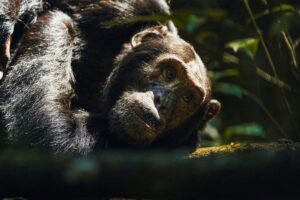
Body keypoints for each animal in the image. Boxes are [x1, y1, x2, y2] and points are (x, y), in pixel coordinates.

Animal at [0, 0, 220, 154]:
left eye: (187, 98)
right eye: (170, 73)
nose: (161, 101)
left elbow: (49, 132)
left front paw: (59, 23)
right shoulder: (129, 9)